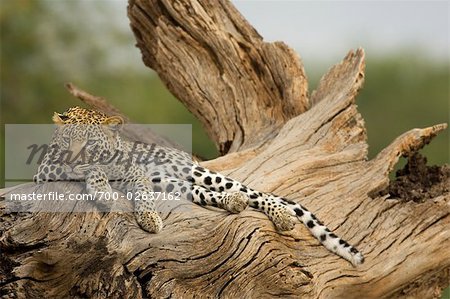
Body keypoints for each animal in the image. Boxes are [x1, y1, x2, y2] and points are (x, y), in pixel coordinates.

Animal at [35, 106, 366, 266]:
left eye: (90, 143)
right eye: (67, 141)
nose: (74, 160)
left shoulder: (136, 174)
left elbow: (139, 193)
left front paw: (148, 218)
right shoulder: (47, 170)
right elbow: (91, 172)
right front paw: (102, 188)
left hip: (193, 171)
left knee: (253, 192)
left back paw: (280, 214)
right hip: (170, 181)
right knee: (216, 195)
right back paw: (233, 203)